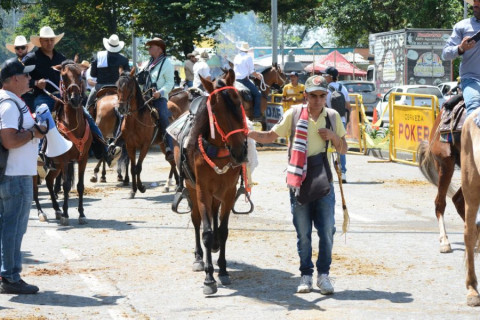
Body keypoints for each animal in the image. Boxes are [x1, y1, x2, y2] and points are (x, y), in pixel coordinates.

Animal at [34, 59, 94, 225]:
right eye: (64, 76)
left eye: (81, 76)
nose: (75, 99)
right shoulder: (65, 159)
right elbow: (66, 185)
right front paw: (67, 214)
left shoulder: (82, 158)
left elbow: (80, 186)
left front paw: (81, 214)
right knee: (34, 189)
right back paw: (42, 213)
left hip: (56, 165)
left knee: (49, 181)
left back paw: (57, 210)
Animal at [116, 69, 180, 199]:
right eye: (117, 86)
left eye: (129, 87)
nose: (121, 109)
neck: (135, 119)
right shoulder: (130, 146)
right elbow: (133, 168)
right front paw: (133, 191)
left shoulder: (145, 145)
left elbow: (138, 167)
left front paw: (141, 187)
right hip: (162, 145)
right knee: (172, 162)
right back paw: (173, 184)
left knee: (174, 161)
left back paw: (178, 185)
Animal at [177, 70, 251, 296]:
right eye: (215, 110)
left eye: (238, 102)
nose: (240, 151)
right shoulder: (202, 191)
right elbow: (207, 232)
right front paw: (209, 278)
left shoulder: (228, 192)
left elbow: (223, 230)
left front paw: (224, 270)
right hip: (192, 189)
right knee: (197, 221)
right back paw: (199, 257)